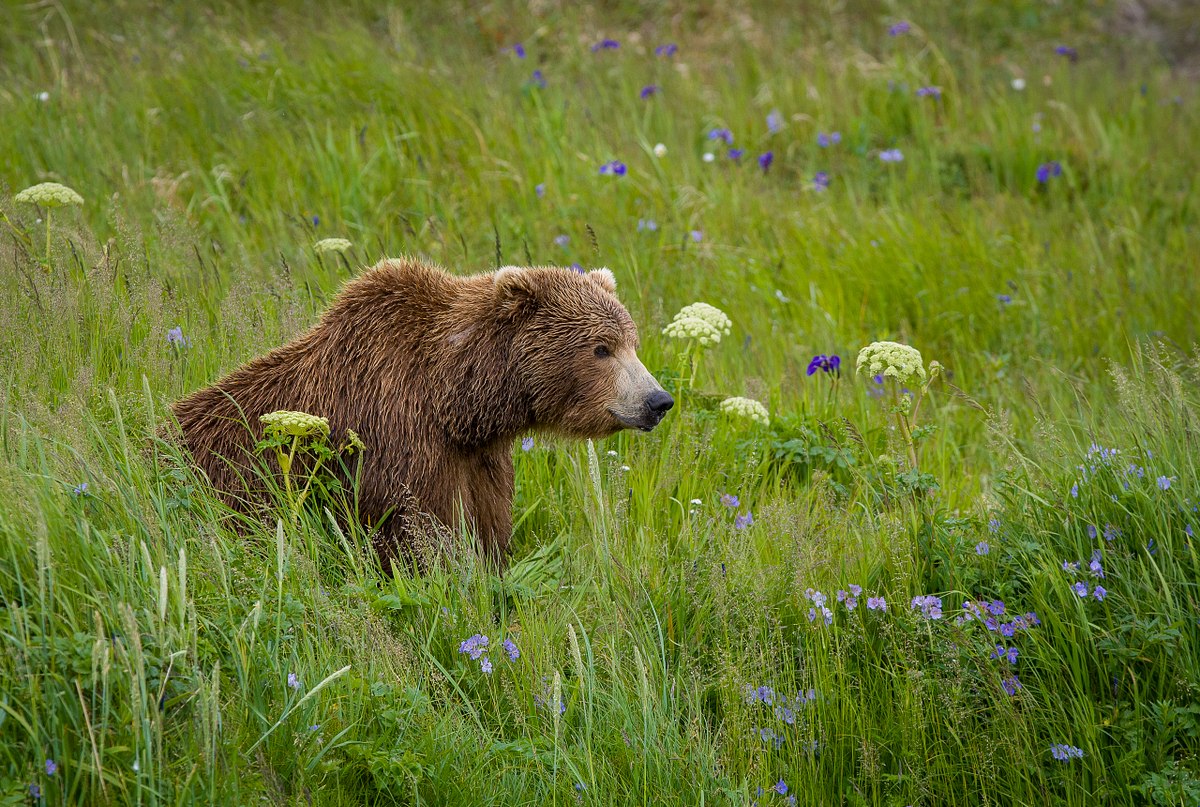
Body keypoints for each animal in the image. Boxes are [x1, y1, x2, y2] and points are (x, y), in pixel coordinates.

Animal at [170, 257, 674, 567]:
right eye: (601, 348)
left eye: (632, 343)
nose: (658, 401)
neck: (454, 400)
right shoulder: (398, 440)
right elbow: (418, 537)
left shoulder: (478, 458)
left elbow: (489, 527)